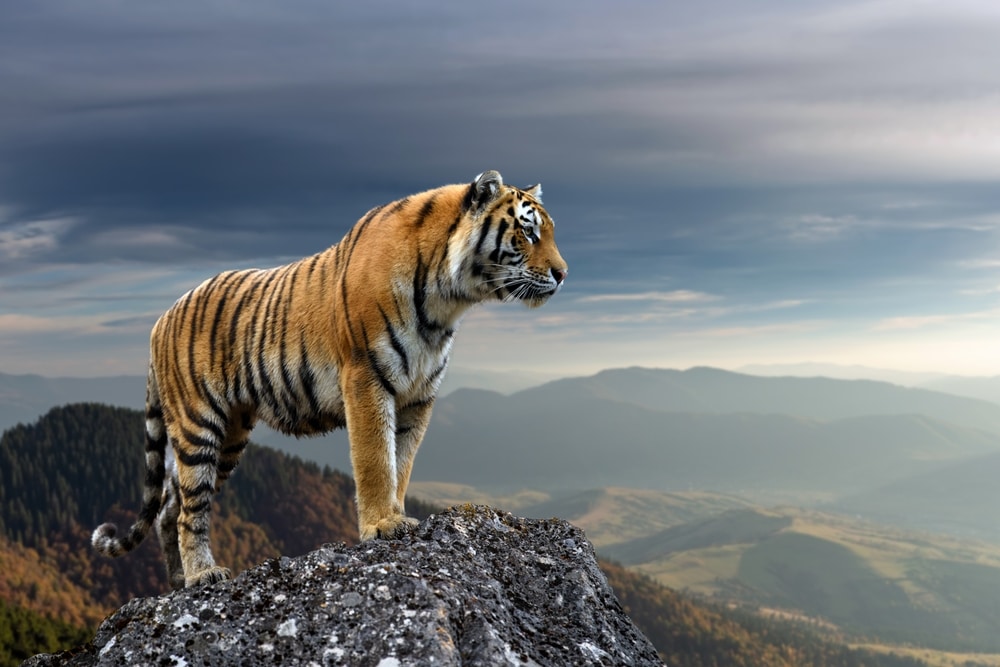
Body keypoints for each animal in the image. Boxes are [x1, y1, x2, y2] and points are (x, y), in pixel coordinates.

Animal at [92, 171, 572, 588]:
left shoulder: (419, 396)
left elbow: (402, 462)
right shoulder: (366, 378)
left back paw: (178, 583)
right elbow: (376, 459)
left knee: (169, 507)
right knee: (190, 509)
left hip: (229, 435)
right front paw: (383, 525)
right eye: (528, 233)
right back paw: (202, 575)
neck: (447, 301)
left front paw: (397, 514)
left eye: (548, 233)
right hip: (198, 425)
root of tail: (159, 320)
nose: (563, 274)